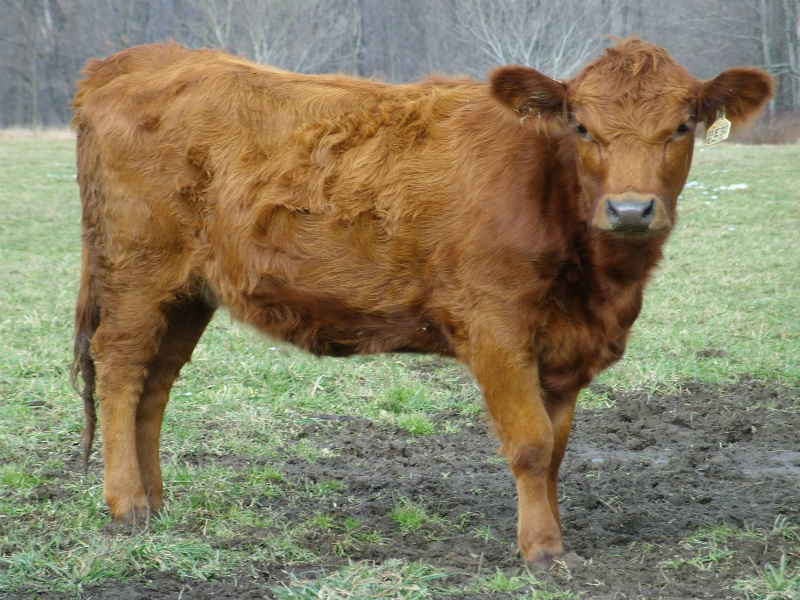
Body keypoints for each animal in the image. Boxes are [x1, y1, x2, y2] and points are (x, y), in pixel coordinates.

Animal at [71, 38, 772, 567]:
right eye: (582, 126)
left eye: (681, 127)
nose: (630, 209)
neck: (599, 286)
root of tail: (140, 58)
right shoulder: (495, 330)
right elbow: (530, 444)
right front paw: (543, 552)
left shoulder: (565, 349)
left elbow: (557, 448)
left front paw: (552, 534)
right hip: (138, 273)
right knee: (121, 372)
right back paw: (127, 506)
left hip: (189, 292)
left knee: (156, 385)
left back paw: (157, 502)